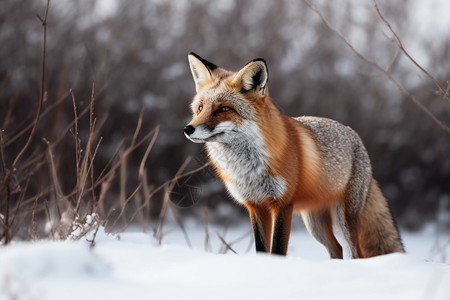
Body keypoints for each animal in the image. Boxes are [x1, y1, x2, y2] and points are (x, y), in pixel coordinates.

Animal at [183, 52, 404, 258]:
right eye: (200, 108)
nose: (188, 129)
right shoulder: (256, 205)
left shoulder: (282, 204)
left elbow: (278, 250)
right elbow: (262, 249)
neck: (248, 168)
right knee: (337, 248)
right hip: (313, 222)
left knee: (355, 252)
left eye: (224, 109)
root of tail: (355, 136)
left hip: (345, 218)